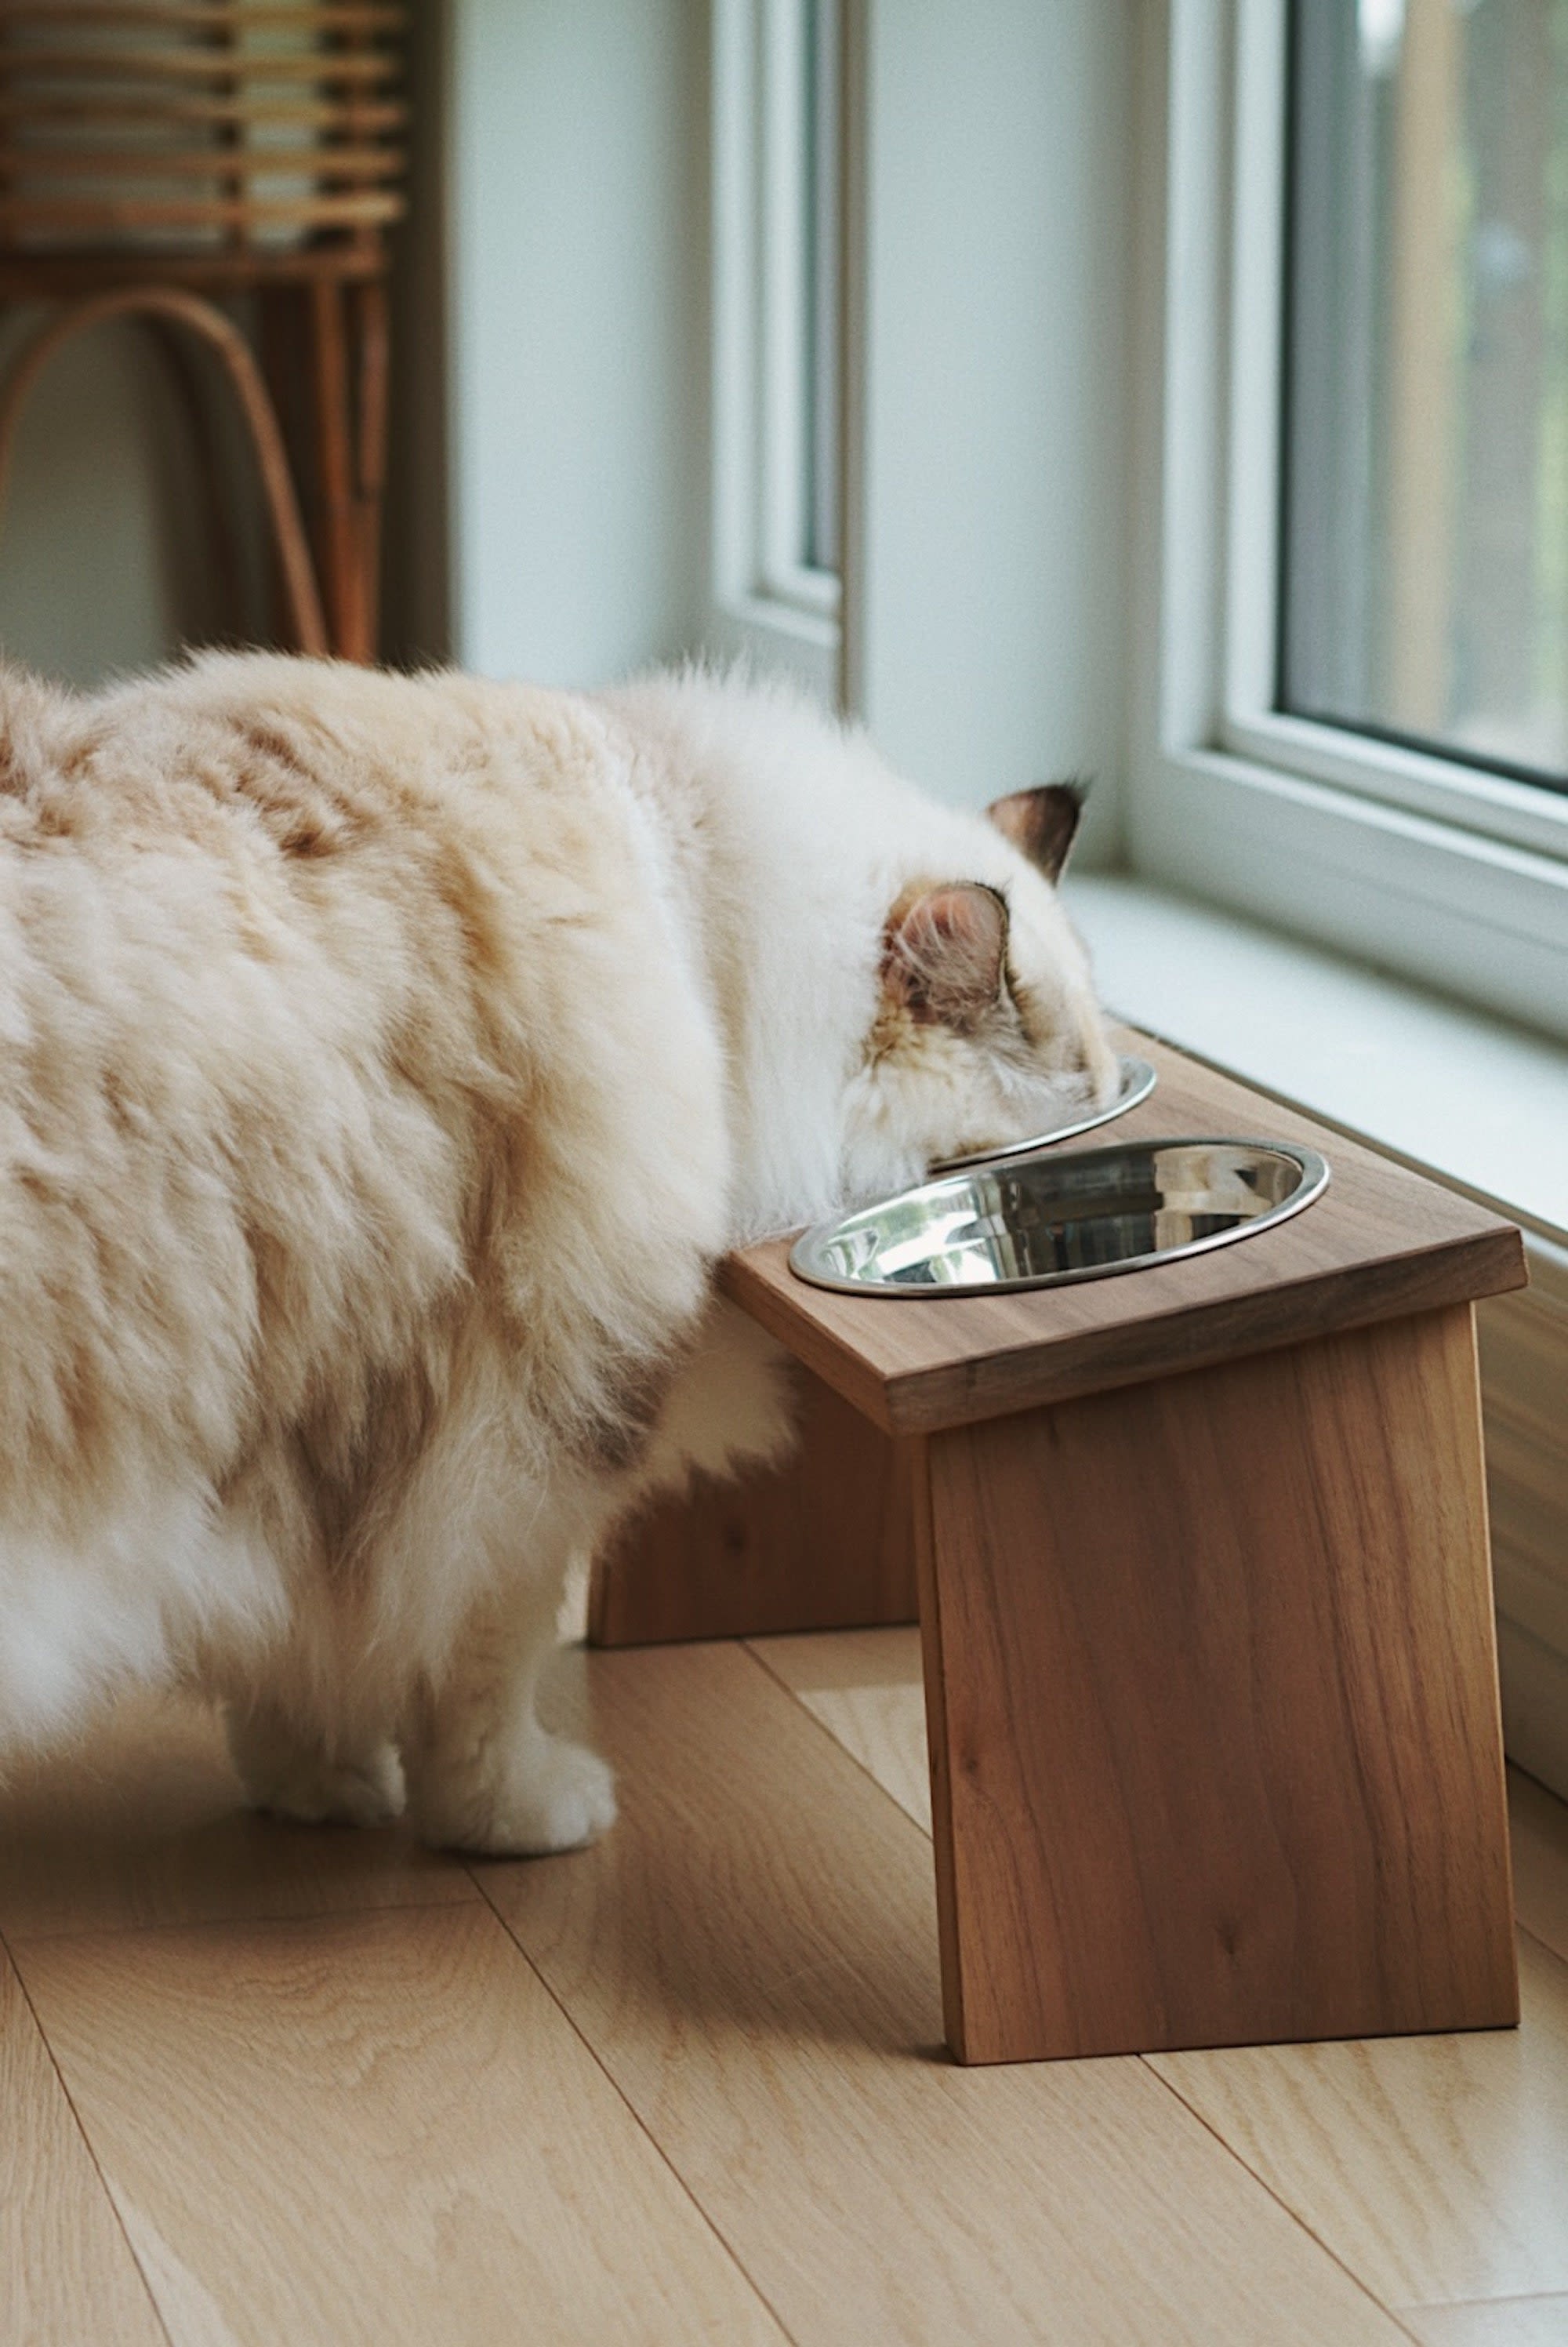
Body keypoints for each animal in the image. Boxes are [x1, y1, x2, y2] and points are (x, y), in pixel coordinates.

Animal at [0, 657, 1122, 1849]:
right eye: (1070, 1120)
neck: (701, 923)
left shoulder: (294, 1439)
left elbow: (286, 1656)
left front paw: (317, 1790)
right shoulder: (526, 1446)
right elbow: (486, 1670)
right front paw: (521, 1816)